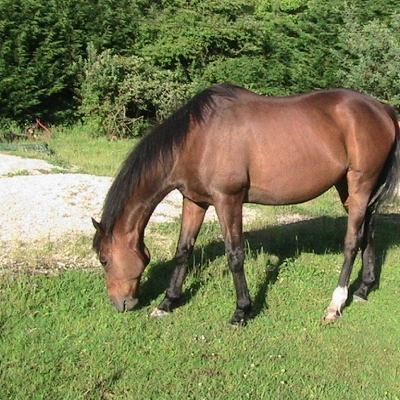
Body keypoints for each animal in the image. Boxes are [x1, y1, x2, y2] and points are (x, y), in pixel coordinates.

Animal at [91, 83, 400, 324]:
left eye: (104, 259)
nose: (121, 304)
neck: (199, 139)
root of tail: (382, 108)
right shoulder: (194, 200)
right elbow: (183, 250)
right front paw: (167, 303)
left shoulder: (228, 200)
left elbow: (235, 255)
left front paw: (242, 311)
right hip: (349, 187)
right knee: (367, 232)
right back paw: (363, 290)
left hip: (360, 184)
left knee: (351, 241)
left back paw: (335, 305)